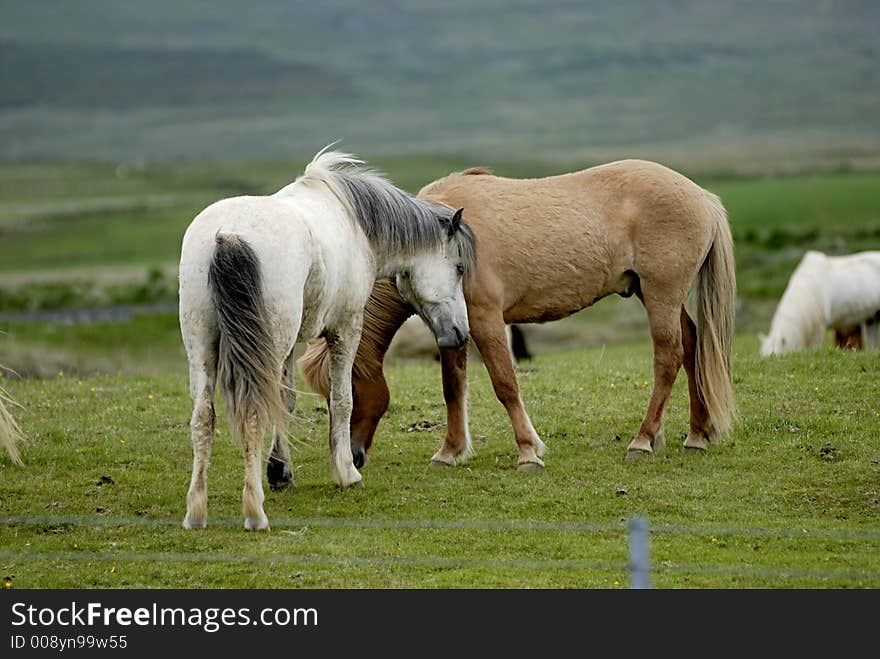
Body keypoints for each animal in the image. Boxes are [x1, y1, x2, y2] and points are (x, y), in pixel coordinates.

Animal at [177, 148, 474, 532]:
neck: (354, 221)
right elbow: (342, 399)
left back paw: (196, 512)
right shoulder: (345, 328)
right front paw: (346, 472)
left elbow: (286, 401)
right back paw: (255, 512)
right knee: (253, 413)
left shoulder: (288, 347)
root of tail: (228, 235)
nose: (461, 333)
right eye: (459, 268)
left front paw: (280, 472)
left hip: (204, 346)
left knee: (203, 417)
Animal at [300, 160, 740, 470]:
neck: (447, 243)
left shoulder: (484, 320)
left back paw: (644, 440)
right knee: (693, 344)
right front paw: (451, 451)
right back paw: (697, 434)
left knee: (669, 356)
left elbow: (505, 384)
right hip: (655, 295)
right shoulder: (450, 328)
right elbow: (452, 387)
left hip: (662, 294)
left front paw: (528, 451)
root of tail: (702, 196)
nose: (353, 456)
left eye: (348, 391)